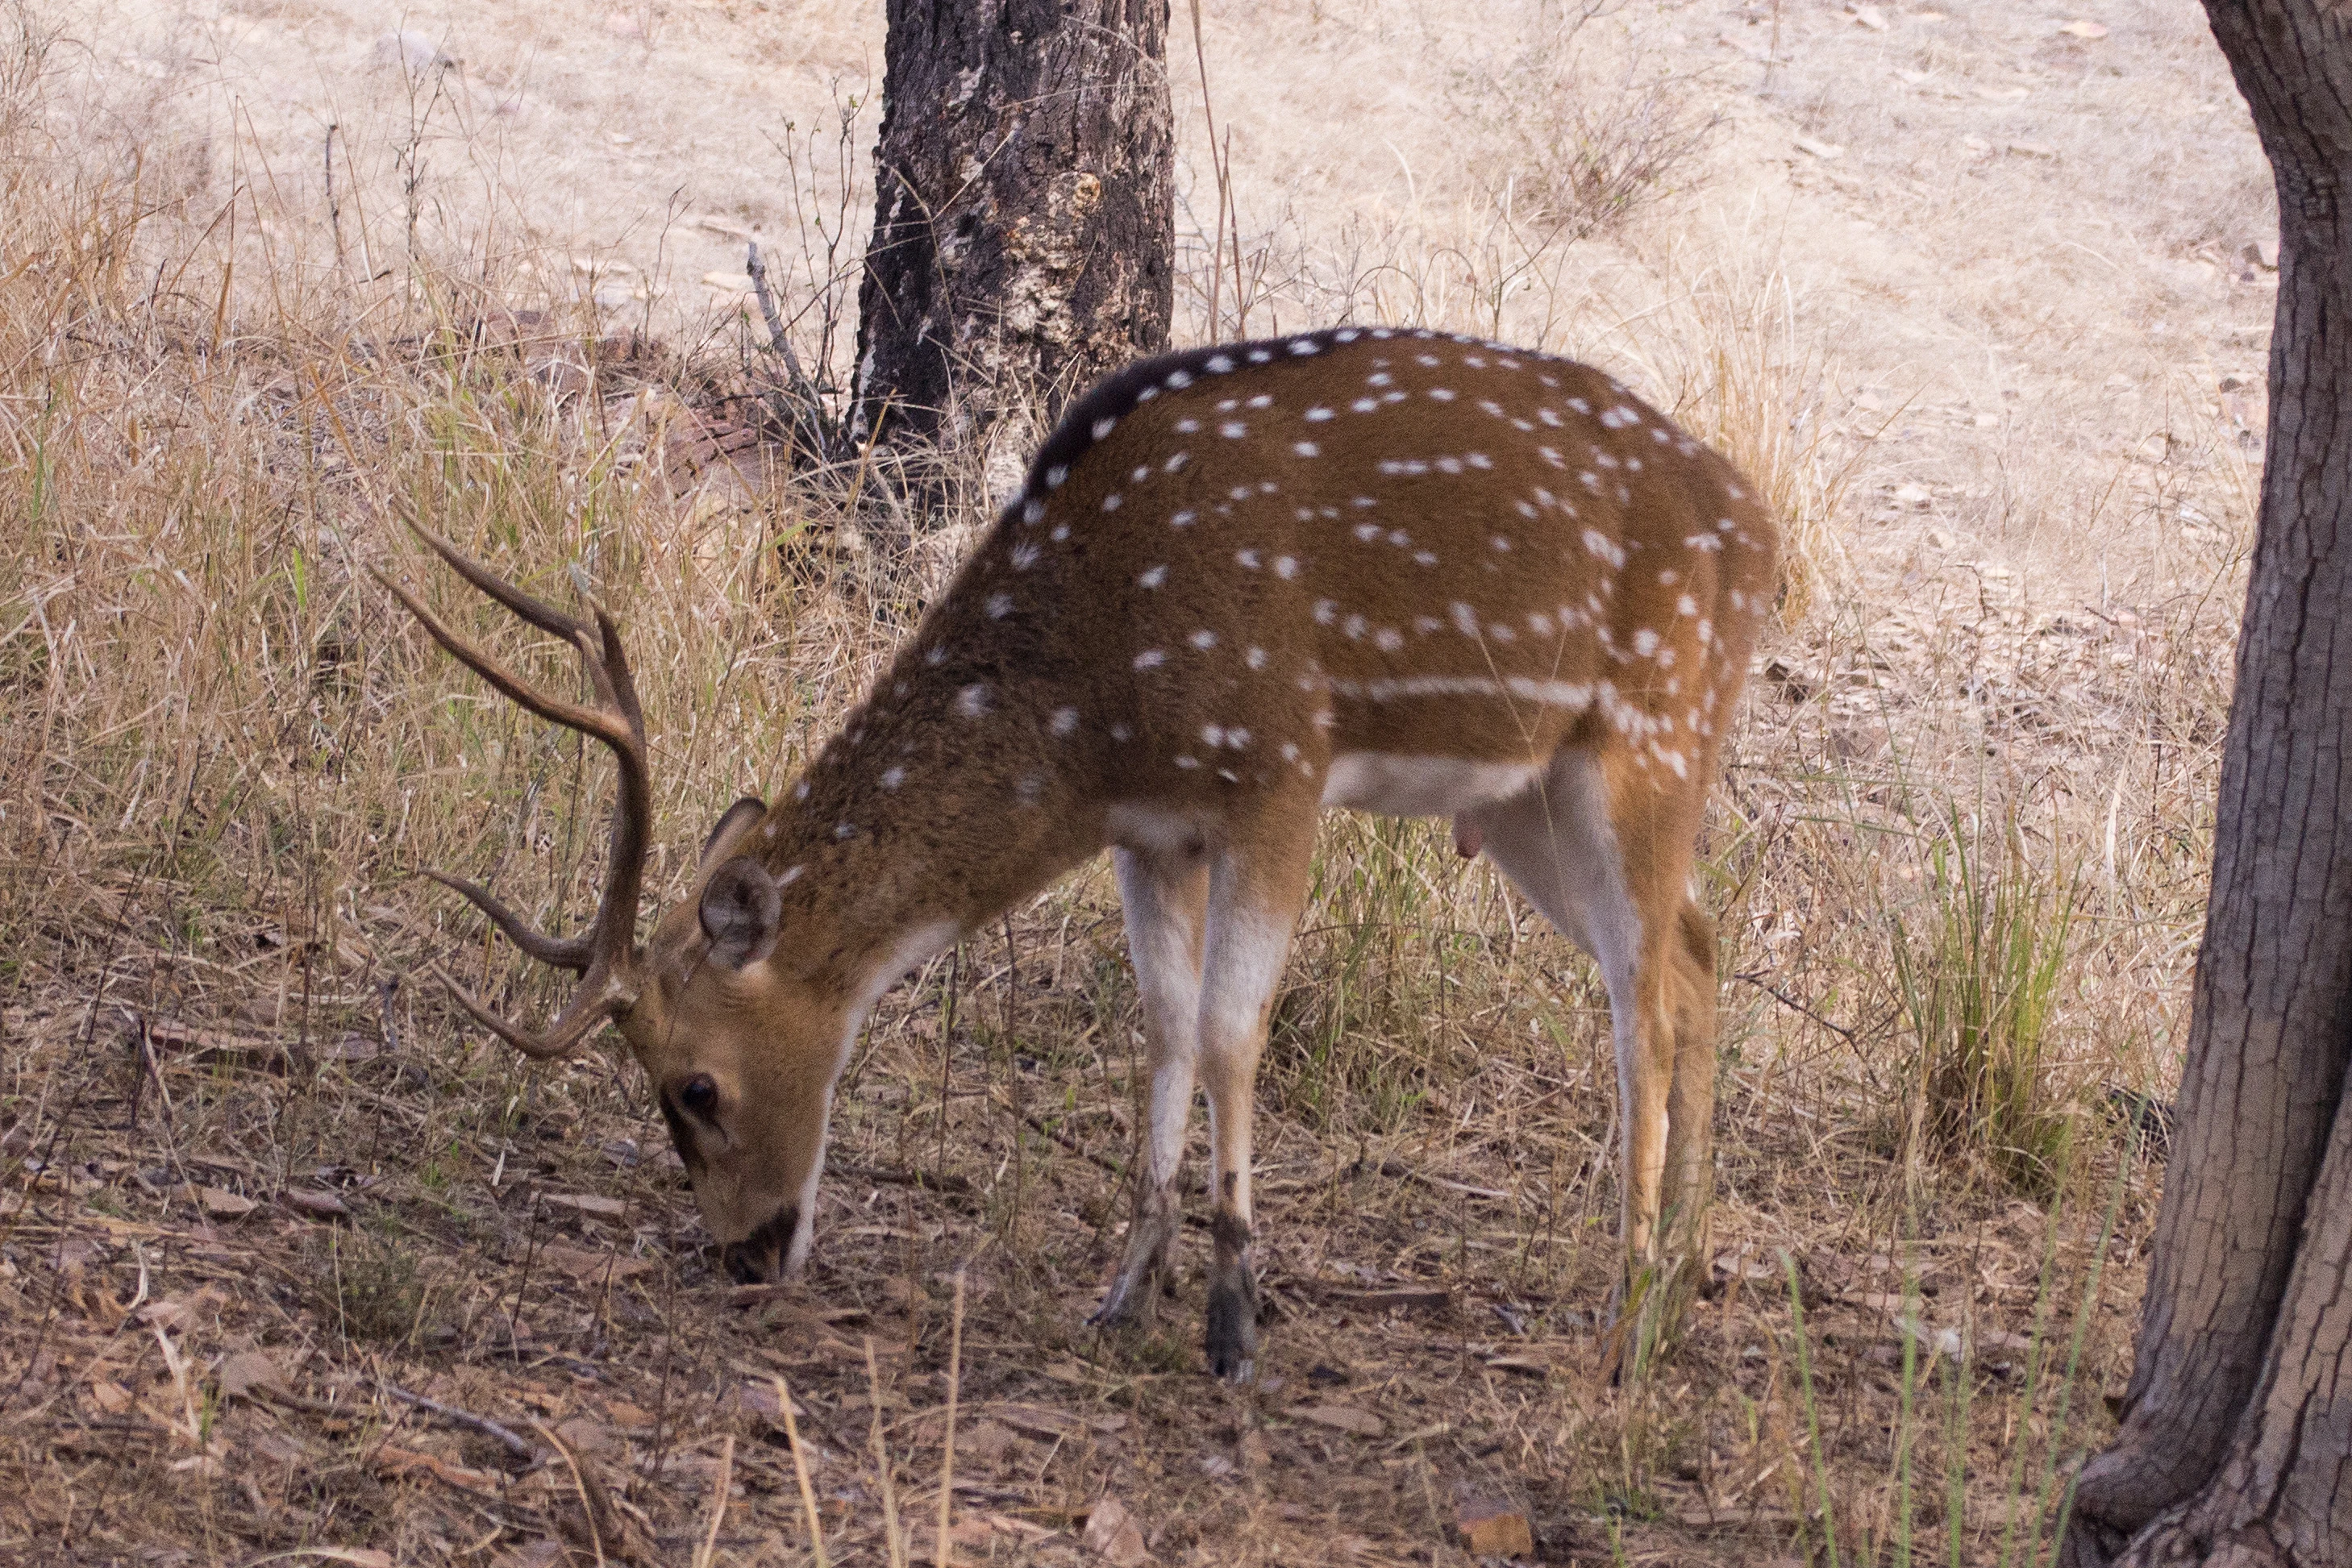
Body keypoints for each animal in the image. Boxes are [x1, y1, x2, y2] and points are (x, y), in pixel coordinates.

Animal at [381, 325, 1779, 1382]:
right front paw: (1123, 1291)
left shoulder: (1278, 762)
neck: (1095, 698)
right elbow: (1162, 1027)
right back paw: (1684, 1280)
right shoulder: (1154, 830)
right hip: (1530, 794)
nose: (742, 1255)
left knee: (1643, 1002)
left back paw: (1623, 1318)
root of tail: (1767, 536)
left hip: (1651, 732)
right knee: (1693, 952)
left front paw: (1231, 1326)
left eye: (697, 1087)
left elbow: (1229, 1032)